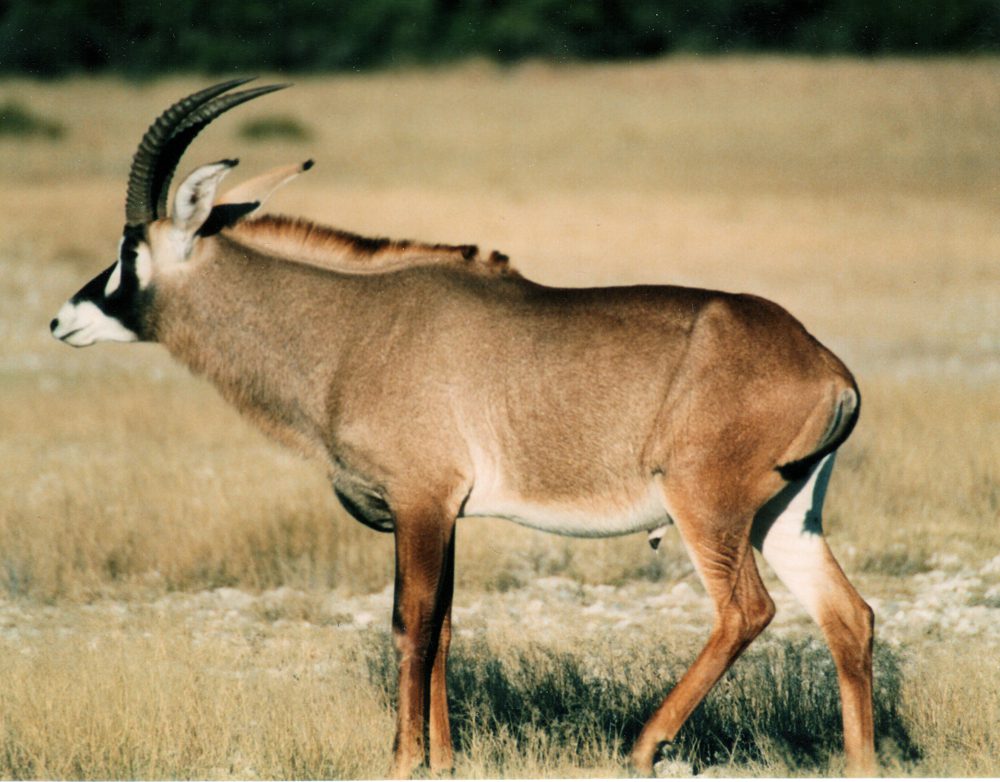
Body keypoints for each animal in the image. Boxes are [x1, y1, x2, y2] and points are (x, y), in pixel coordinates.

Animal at [51, 79, 875, 777]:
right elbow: (443, 625)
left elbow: (410, 624)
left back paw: (644, 746)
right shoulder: (444, 514)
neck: (351, 327)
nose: (62, 321)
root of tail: (825, 364)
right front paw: (444, 759)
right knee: (848, 617)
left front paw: (402, 759)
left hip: (707, 507)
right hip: (785, 515)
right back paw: (860, 761)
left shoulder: (419, 501)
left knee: (747, 610)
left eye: (128, 250)